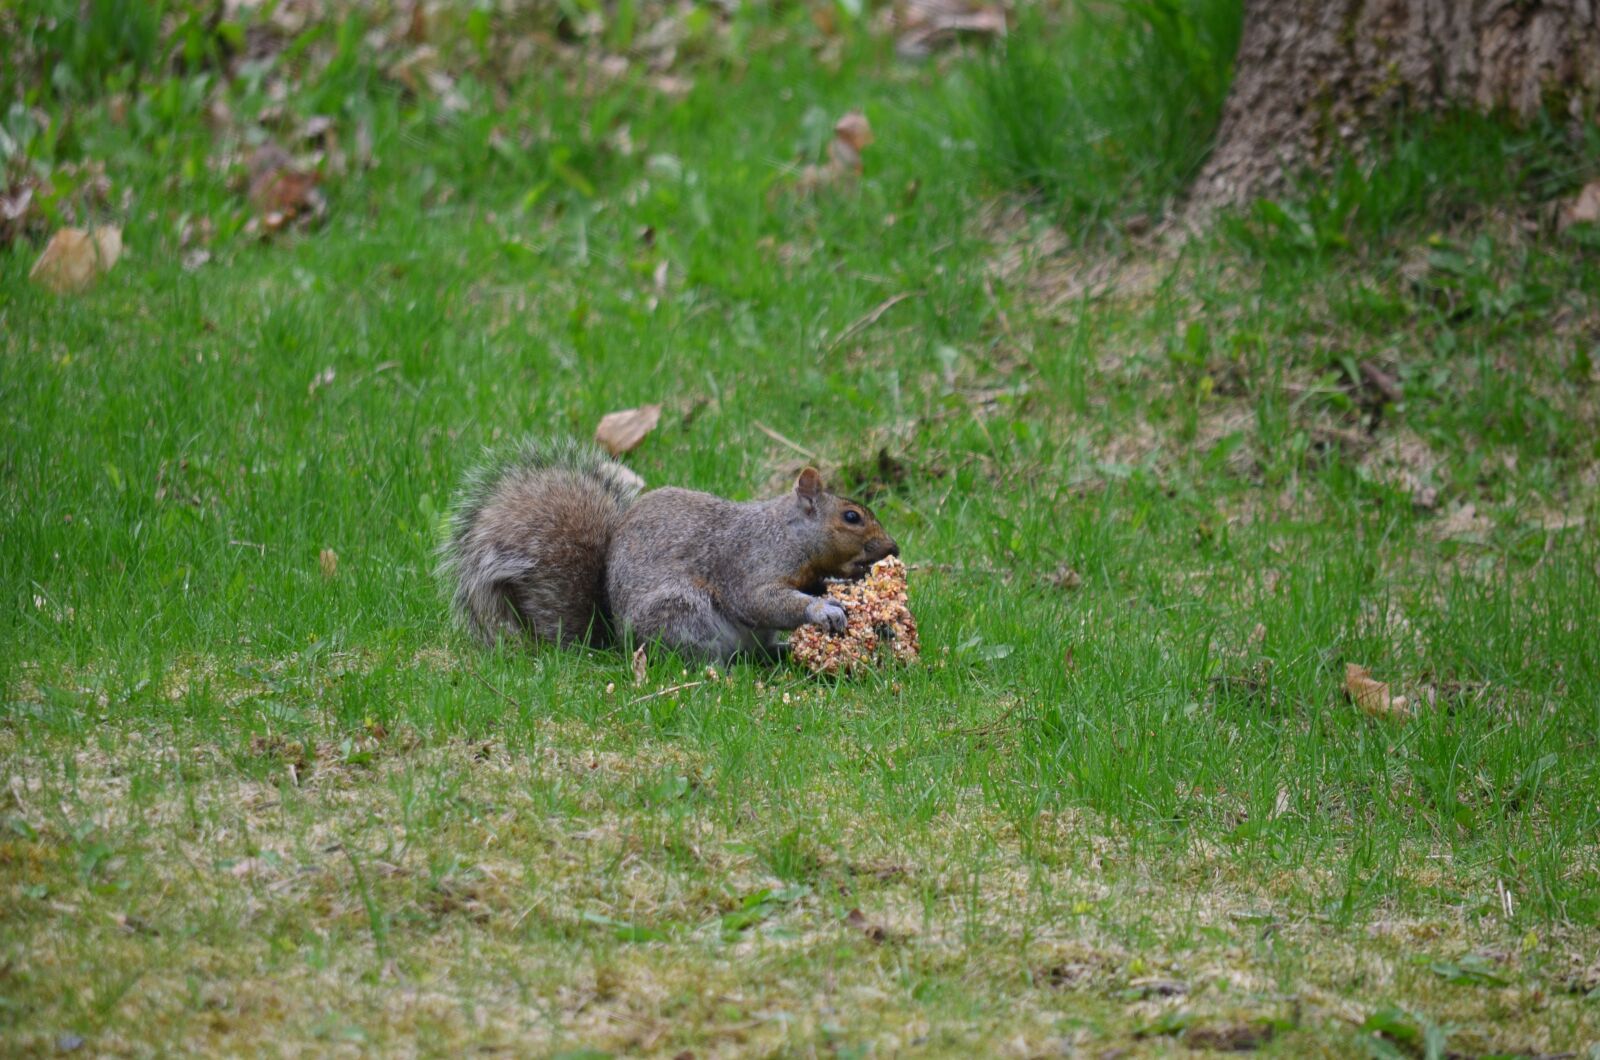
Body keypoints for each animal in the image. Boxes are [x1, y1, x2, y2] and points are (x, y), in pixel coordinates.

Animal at [439, 438, 900, 662]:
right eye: (851, 517)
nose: (892, 547)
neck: (786, 534)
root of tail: (620, 642)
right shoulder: (748, 563)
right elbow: (760, 600)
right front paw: (822, 610)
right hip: (682, 614)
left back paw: (779, 651)